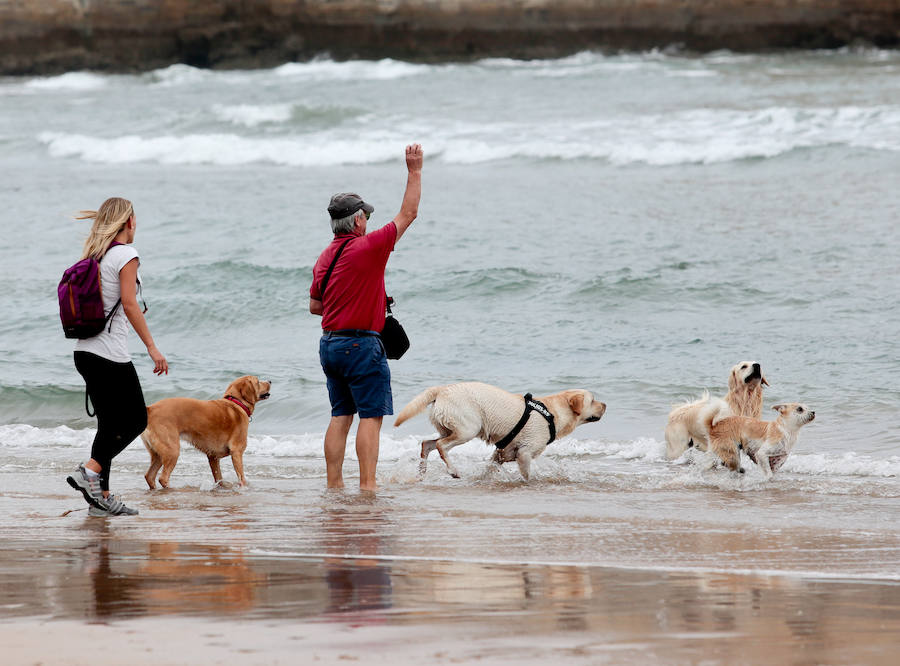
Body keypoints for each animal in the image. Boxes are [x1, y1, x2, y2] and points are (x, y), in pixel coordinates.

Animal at [141, 374, 270, 488]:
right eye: (258, 381)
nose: (270, 381)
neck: (236, 402)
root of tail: (151, 409)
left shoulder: (213, 457)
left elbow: (218, 477)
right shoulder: (237, 452)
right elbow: (241, 477)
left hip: (158, 454)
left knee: (149, 476)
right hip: (172, 450)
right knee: (163, 478)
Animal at [392, 382, 604, 480]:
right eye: (593, 400)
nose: (606, 405)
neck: (552, 413)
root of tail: (442, 389)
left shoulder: (502, 453)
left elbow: (490, 468)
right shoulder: (525, 453)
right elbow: (526, 474)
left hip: (448, 428)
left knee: (426, 444)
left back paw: (421, 472)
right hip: (468, 429)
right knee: (440, 446)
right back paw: (453, 470)